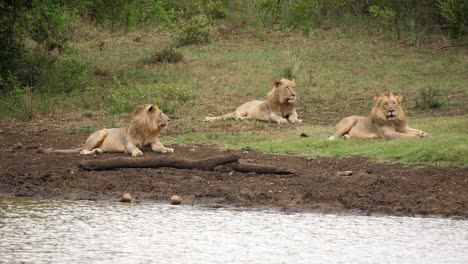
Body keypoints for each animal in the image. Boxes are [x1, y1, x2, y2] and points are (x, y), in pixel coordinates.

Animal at [43, 103, 174, 157]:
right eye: (161, 113)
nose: (169, 119)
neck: (147, 129)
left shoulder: (154, 142)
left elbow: (161, 147)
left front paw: (168, 149)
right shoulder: (128, 144)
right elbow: (133, 148)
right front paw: (137, 152)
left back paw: (98, 151)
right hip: (101, 133)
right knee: (83, 151)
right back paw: (94, 152)